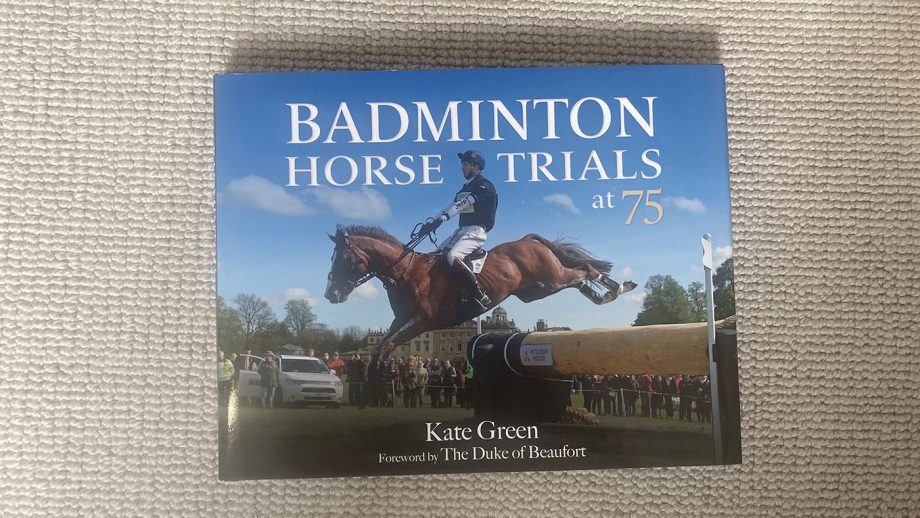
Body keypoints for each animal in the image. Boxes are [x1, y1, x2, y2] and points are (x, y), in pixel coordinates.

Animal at [324, 224, 636, 369]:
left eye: (344, 259)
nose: (330, 294)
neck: (407, 272)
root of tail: (526, 240)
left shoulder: (424, 321)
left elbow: (388, 346)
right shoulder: (401, 320)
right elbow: (381, 345)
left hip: (549, 278)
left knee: (583, 270)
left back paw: (618, 288)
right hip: (536, 290)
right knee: (578, 279)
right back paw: (607, 295)